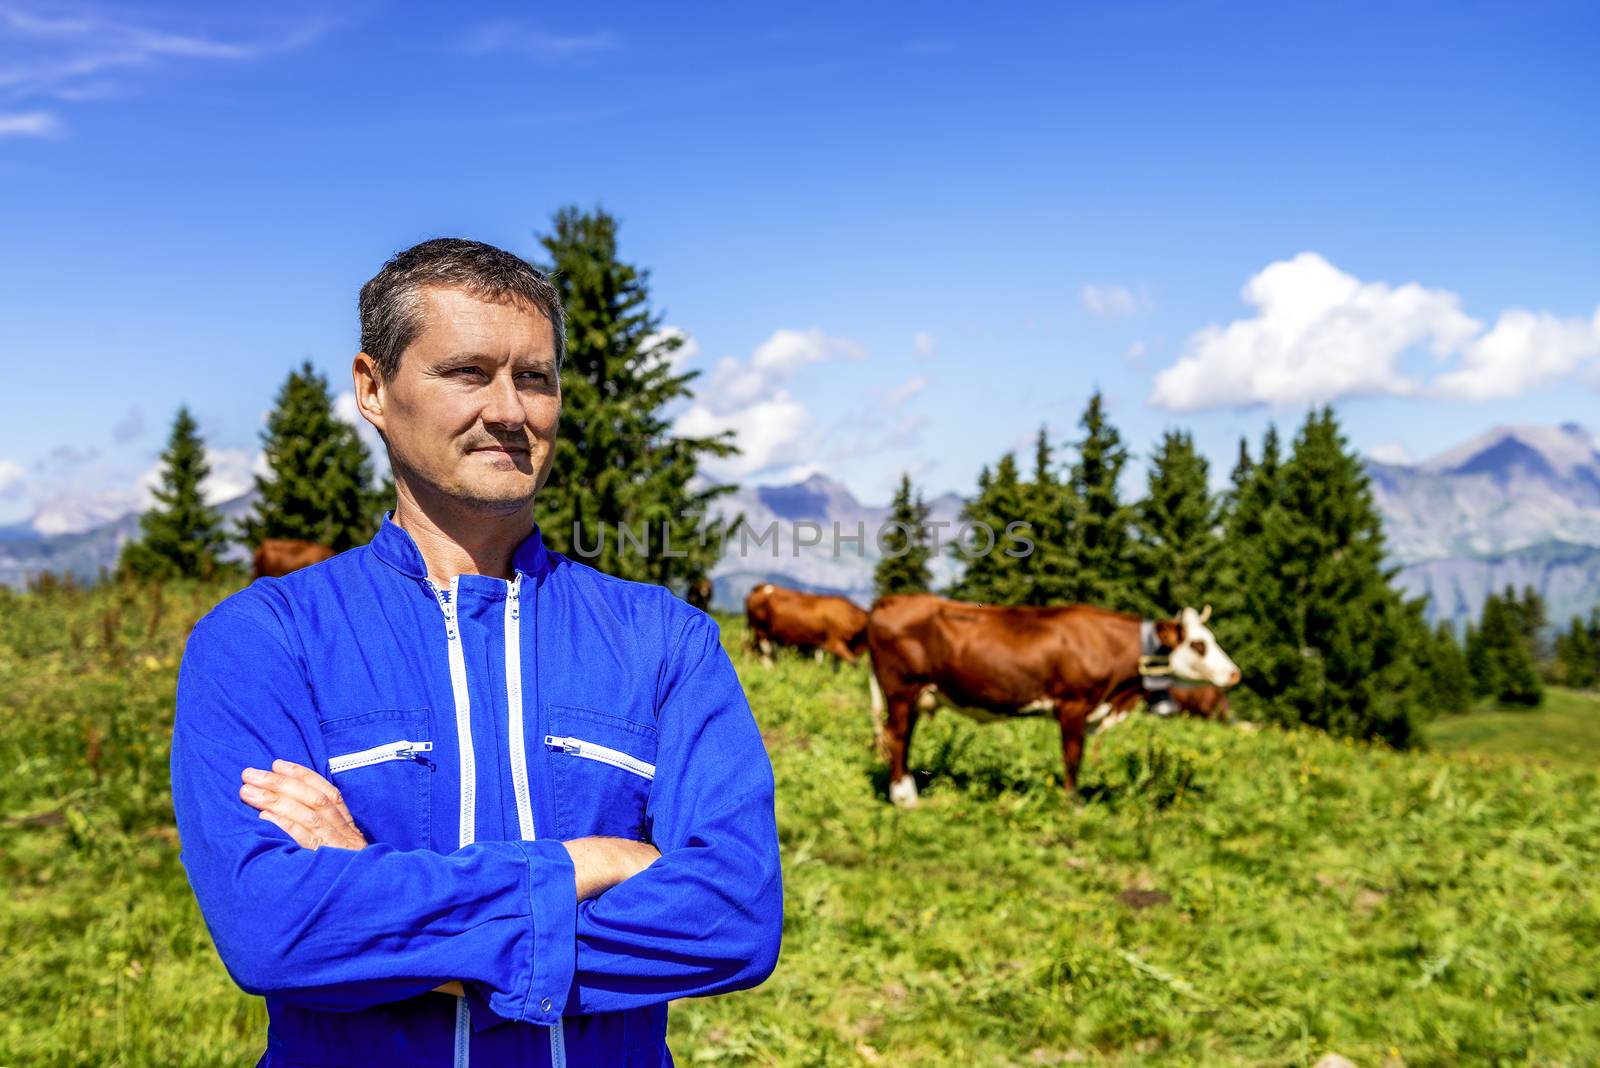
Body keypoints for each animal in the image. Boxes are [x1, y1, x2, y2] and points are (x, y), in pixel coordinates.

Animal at [742, 585, 870, 668]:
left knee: (752, 648)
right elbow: (855, 663)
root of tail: (760, 588)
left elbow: (836, 665)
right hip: (762, 631)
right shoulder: (834, 642)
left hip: (762, 633)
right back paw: (768, 668)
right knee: (764, 652)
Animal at [870, 591, 1241, 808]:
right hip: (902, 689)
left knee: (902, 737)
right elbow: (1072, 755)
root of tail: (891, 599)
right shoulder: (1074, 704)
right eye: (1198, 644)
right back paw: (903, 797)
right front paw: (1073, 802)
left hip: (915, 695)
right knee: (897, 736)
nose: (1235, 673)